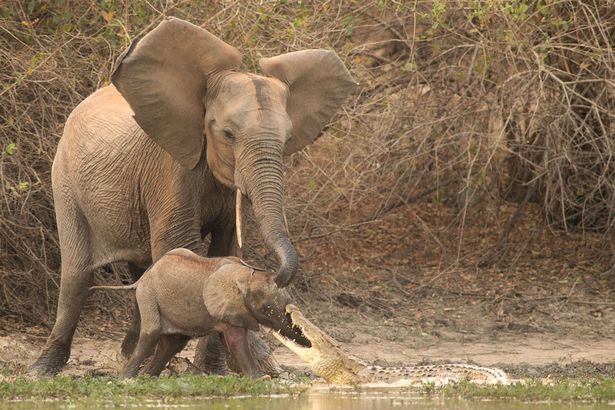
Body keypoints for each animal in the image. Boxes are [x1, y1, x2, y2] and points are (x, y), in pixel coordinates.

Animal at [90, 247, 312, 378]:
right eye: (265, 308)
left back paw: (148, 376)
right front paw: (261, 378)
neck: (244, 275)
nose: (310, 344)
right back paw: (127, 378)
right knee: (151, 334)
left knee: (173, 343)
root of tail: (142, 277)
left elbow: (229, 339)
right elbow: (236, 340)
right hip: (148, 295)